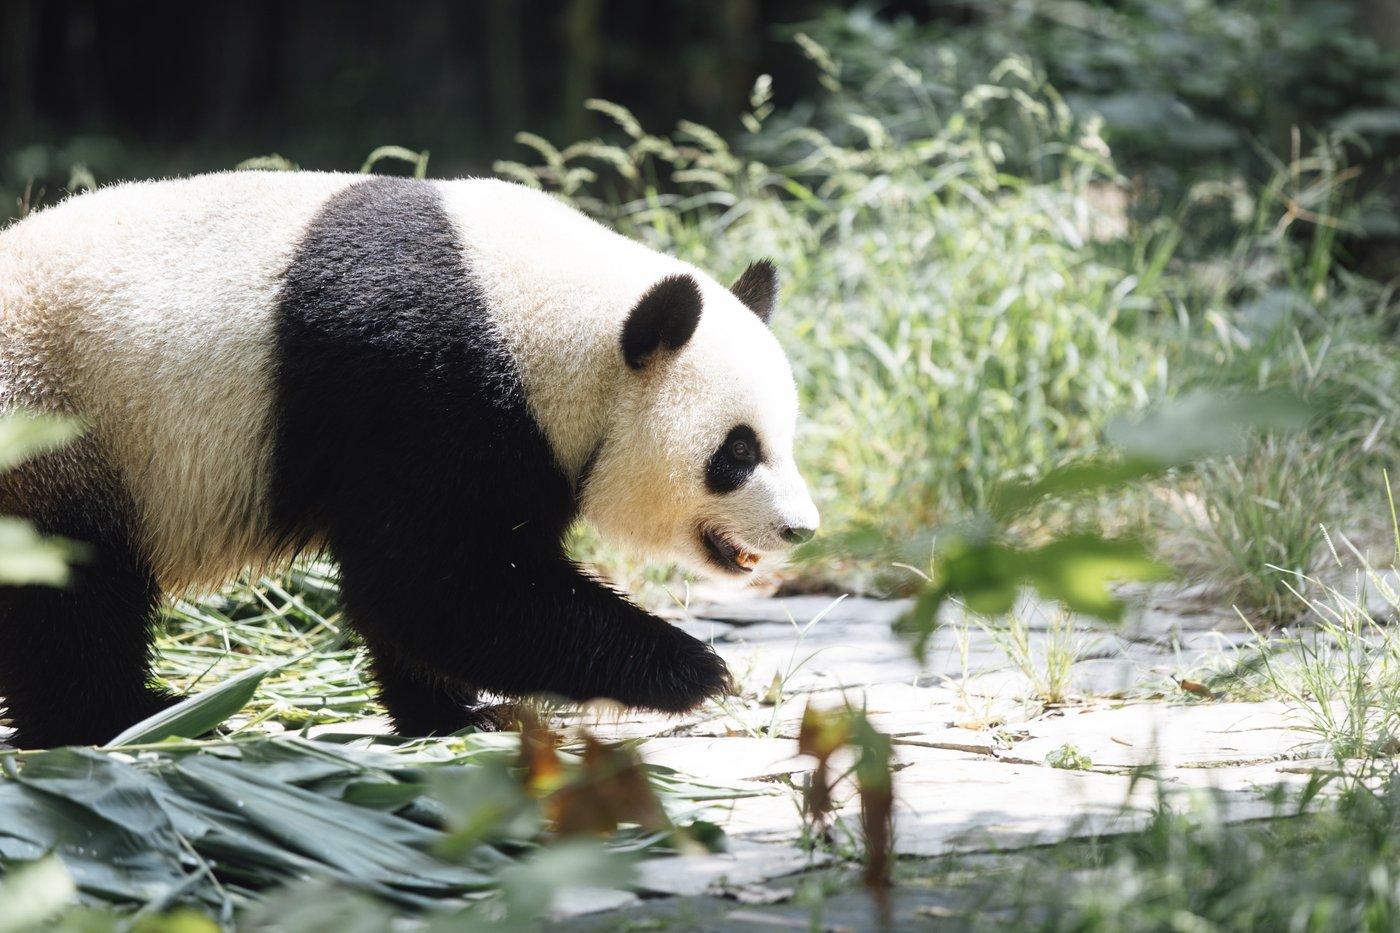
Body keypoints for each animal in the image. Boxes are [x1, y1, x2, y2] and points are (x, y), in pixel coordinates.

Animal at [0, 171, 819, 750]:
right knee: (70, 594)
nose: (800, 529)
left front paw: (459, 711)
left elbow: (434, 590)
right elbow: (433, 583)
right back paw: (131, 716)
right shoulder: (424, 381)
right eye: (737, 451)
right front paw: (697, 669)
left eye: (784, 437)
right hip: (59, 425)